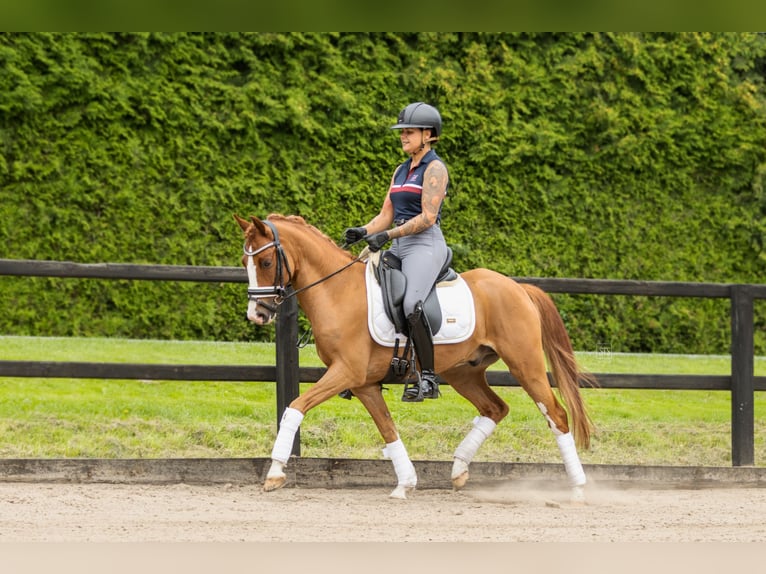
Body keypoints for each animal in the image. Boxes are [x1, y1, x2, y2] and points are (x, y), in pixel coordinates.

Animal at [237, 215, 596, 504]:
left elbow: (295, 408)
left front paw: (275, 472)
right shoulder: (364, 383)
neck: (337, 291)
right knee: (495, 408)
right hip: (464, 372)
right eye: (245, 261)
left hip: (525, 365)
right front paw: (405, 484)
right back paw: (459, 469)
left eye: (266, 262)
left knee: (556, 415)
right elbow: (388, 429)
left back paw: (579, 489)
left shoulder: (345, 372)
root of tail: (519, 288)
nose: (257, 314)